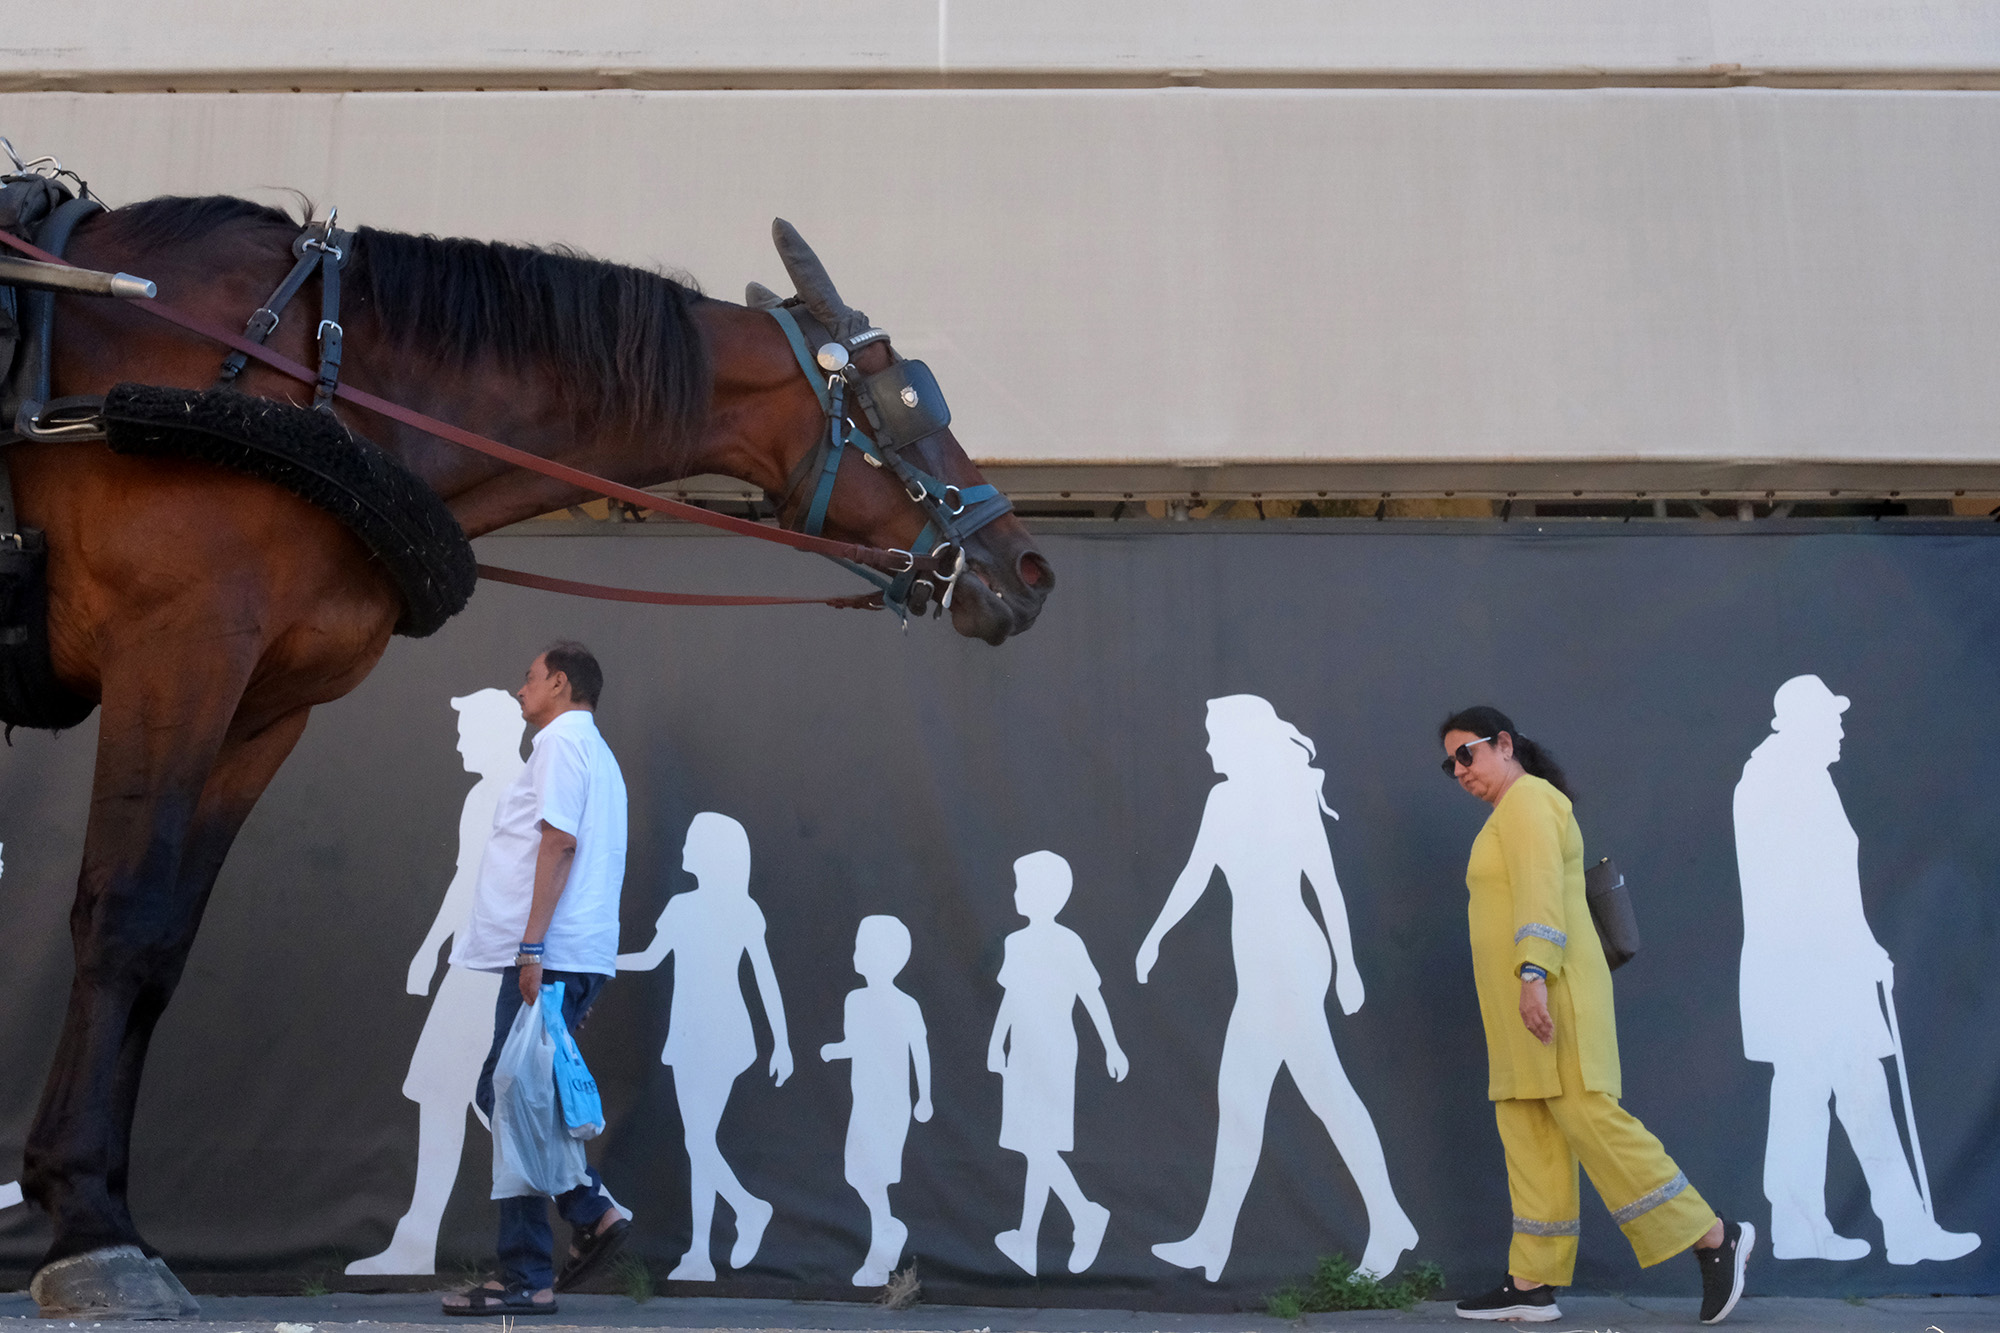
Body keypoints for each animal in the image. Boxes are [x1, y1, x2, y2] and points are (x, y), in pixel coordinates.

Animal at [9, 193, 1053, 1316]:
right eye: (902, 395)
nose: (1027, 564)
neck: (308, 368)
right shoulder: (178, 645)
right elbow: (122, 917)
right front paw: (90, 1221)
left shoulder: (260, 704)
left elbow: (162, 942)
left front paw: (95, 1195)